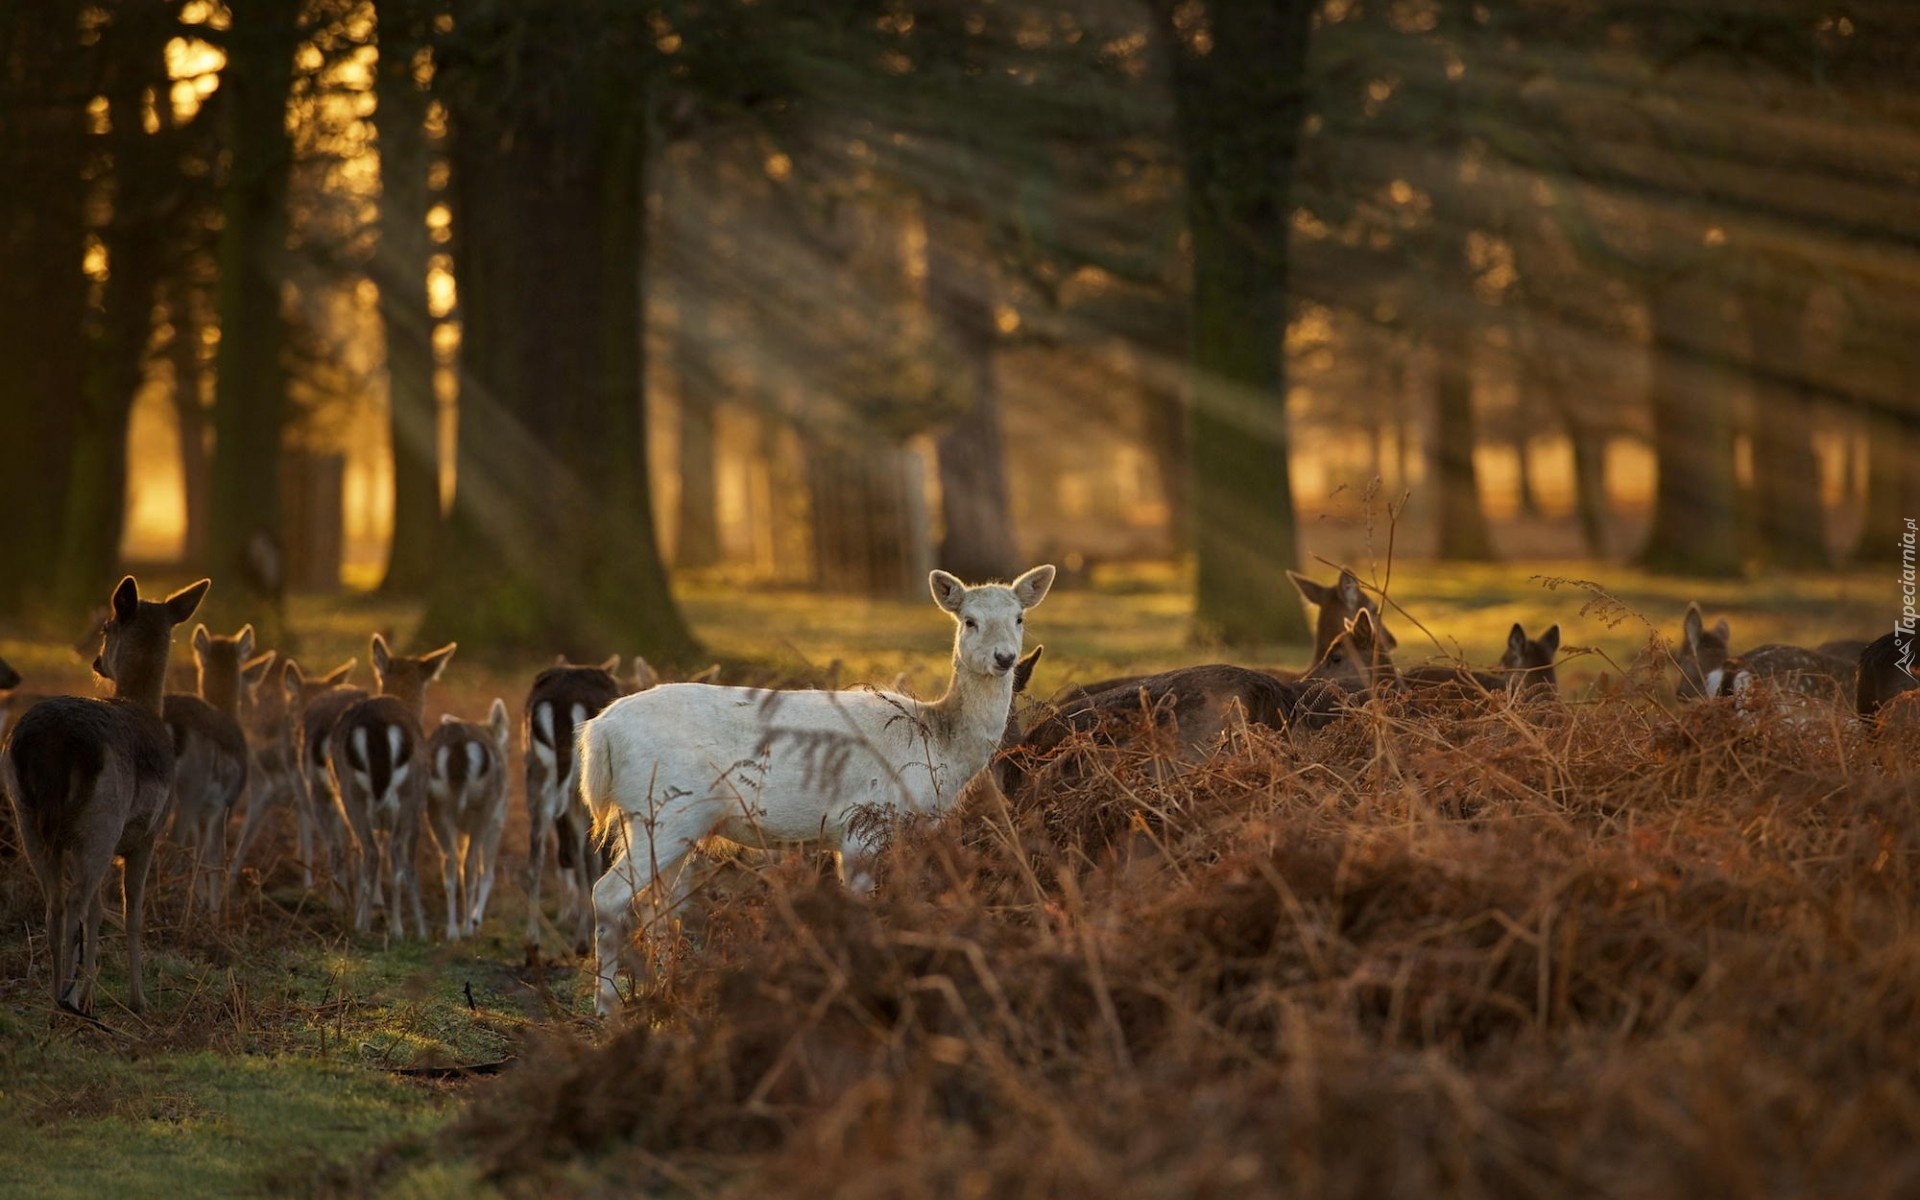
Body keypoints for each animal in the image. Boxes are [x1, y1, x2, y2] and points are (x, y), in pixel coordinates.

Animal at [1, 572, 210, 1013]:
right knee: (75, 901)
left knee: (56, 904)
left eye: (105, 629)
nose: (97, 662)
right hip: (101, 820)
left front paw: (95, 992)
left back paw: (58, 996)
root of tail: (52, 744)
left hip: (29, 818)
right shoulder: (147, 835)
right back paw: (68, 997)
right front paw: (137, 998)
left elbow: (99, 912)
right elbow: (132, 913)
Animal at [326, 637, 456, 936]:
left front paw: (373, 910)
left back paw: (362, 924)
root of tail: (376, 725)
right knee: (393, 851)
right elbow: (408, 861)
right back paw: (396, 929)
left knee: (369, 849)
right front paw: (421, 928)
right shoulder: (419, 805)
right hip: (408, 792)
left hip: (351, 791)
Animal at [518, 656, 622, 956]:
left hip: (535, 771)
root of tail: (563, 701)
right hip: (583, 781)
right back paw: (582, 941)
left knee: (537, 853)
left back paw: (532, 944)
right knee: (589, 852)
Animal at [579, 560, 1052, 1013]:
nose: (1005, 658)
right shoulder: (862, 823)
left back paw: (662, 991)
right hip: (663, 810)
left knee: (654, 901)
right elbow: (861, 906)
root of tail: (600, 732)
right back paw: (608, 1007)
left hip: (673, 822)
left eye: (1019, 617)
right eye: (969, 620)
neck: (937, 745)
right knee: (609, 893)